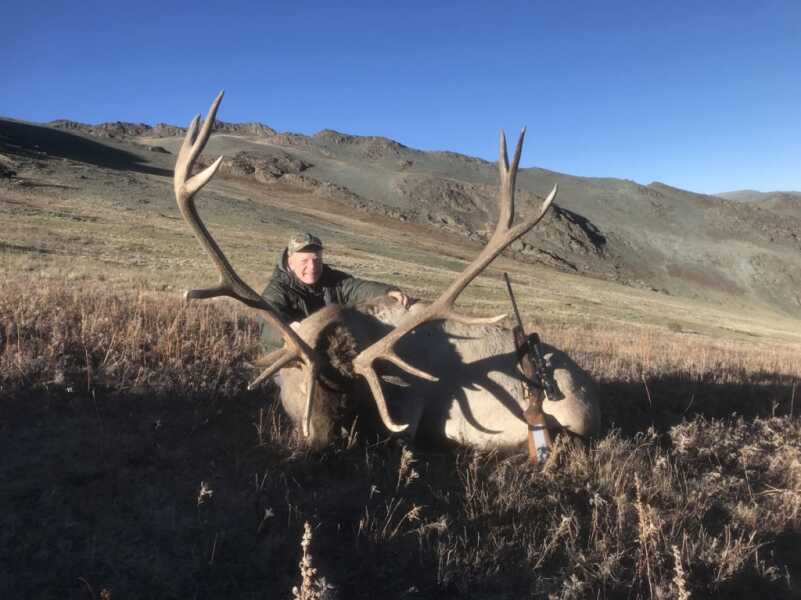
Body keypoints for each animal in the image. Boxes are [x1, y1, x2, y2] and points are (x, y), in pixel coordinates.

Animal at [174, 92, 601, 450]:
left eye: (347, 395)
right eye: (306, 387)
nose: (320, 443)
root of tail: (592, 390)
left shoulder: (407, 411)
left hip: (566, 417)